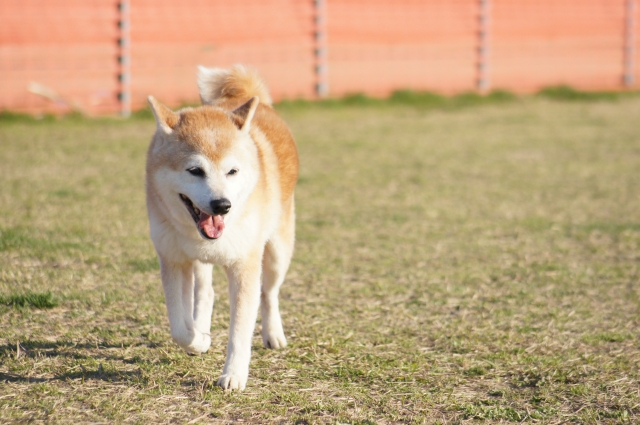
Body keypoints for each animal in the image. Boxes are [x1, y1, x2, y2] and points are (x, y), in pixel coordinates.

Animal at [148, 64, 300, 390]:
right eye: (195, 170)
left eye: (232, 171)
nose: (222, 205)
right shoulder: (173, 259)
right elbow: (179, 327)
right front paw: (199, 340)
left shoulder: (244, 265)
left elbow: (240, 331)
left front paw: (234, 375)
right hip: (198, 262)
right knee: (205, 293)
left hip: (277, 251)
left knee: (269, 293)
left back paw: (273, 334)